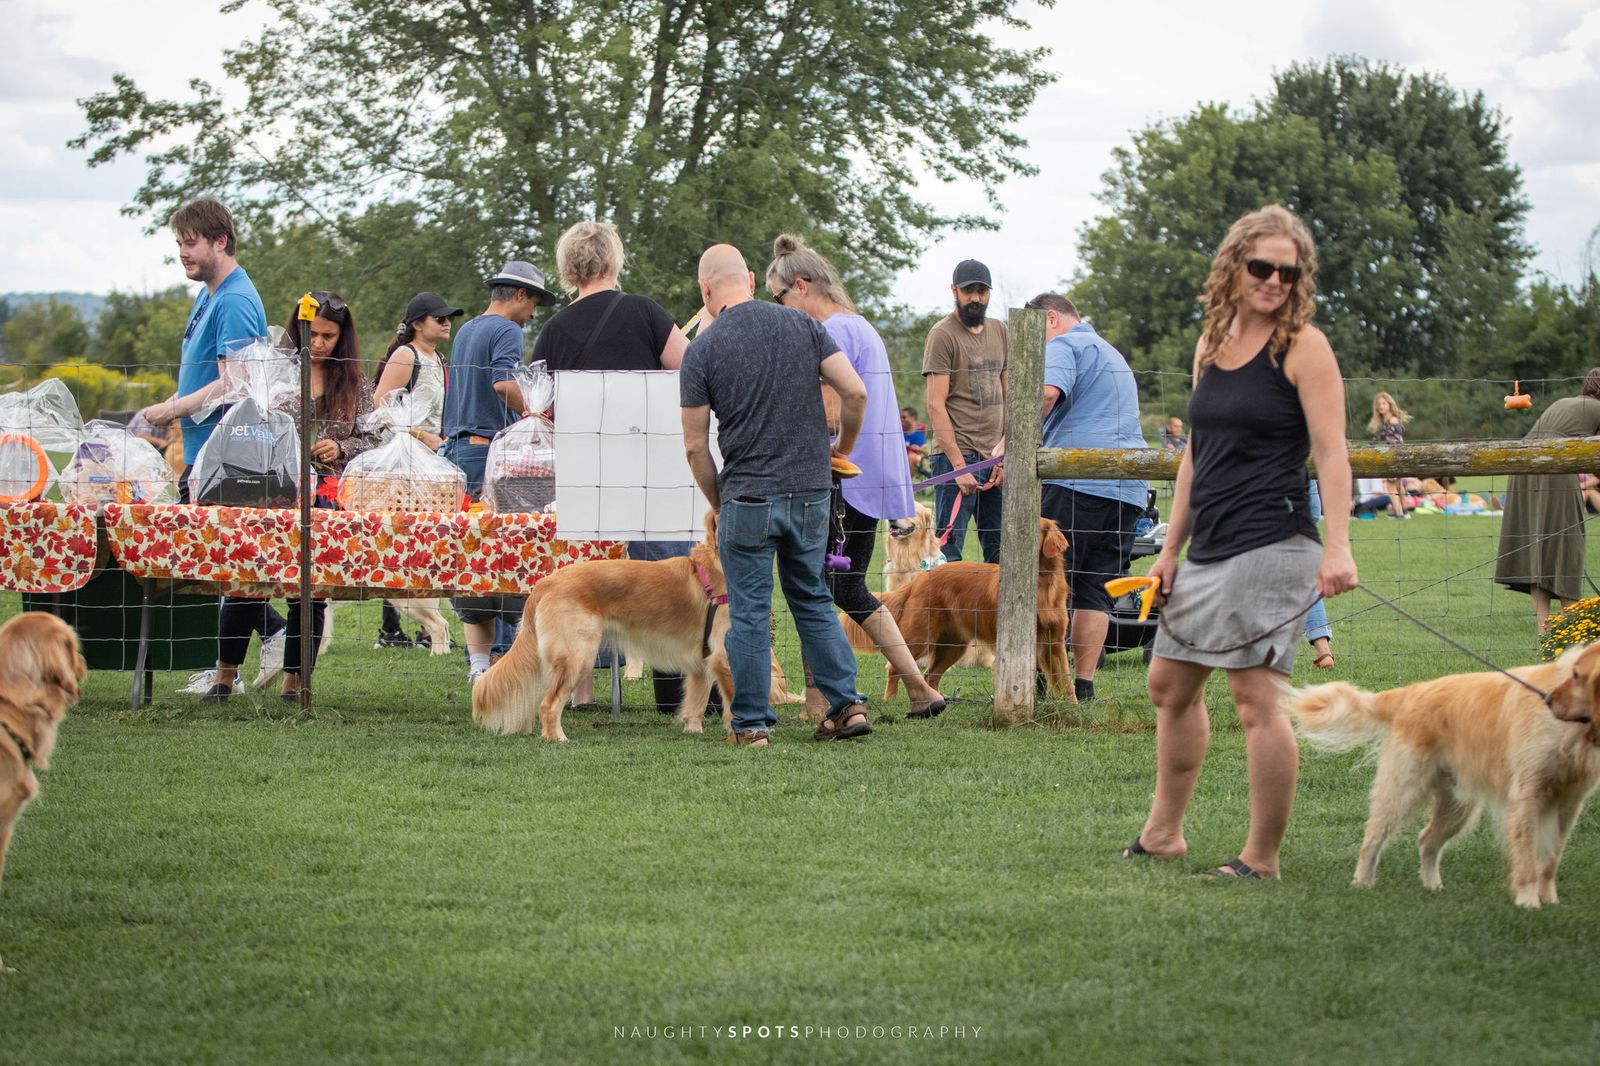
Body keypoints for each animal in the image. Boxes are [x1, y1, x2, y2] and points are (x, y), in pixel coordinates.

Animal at [473, 512, 734, 741]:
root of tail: (547, 581)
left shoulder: (701, 661)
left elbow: (696, 704)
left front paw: (694, 731)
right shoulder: (723, 655)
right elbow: (734, 699)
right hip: (578, 657)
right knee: (548, 704)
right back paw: (558, 738)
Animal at [852, 517, 1071, 699]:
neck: (1042, 584)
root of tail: (921, 579)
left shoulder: (1054, 643)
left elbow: (1066, 682)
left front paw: (1071, 708)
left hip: (952, 646)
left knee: (930, 676)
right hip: (920, 636)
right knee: (895, 667)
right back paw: (891, 699)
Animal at [1288, 643, 1600, 907]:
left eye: (1577, 676)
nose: (1549, 701)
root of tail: (1412, 691)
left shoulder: (1569, 803)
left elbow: (1550, 859)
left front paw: (1550, 902)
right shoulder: (1527, 794)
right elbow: (1526, 860)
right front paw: (1529, 903)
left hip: (1457, 804)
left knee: (1426, 839)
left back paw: (1432, 886)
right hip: (1403, 789)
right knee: (1372, 838)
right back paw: (1363, 883)